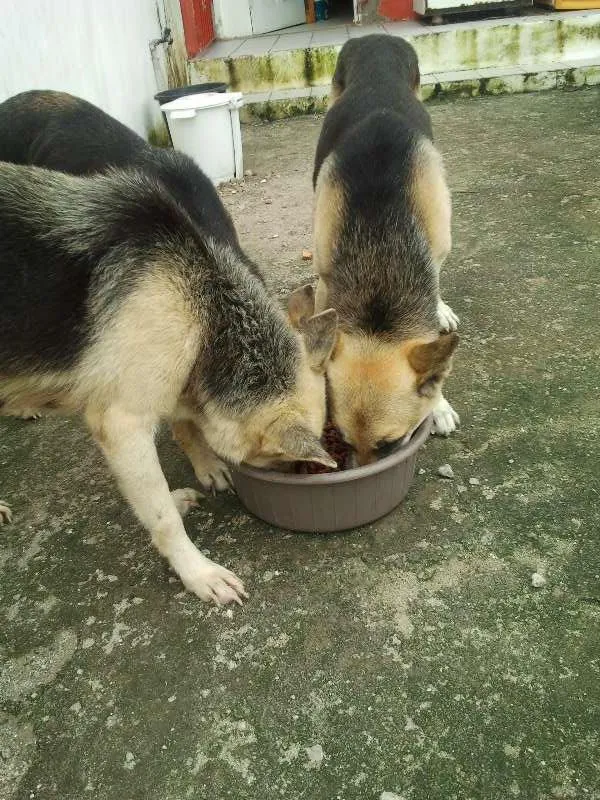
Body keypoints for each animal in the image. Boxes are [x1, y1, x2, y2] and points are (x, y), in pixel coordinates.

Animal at [0, 162, 338, 604]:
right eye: (281, 461)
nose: (303, 476)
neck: (205, 307)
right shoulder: (122, 425)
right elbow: (162, 517)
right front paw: (198, 573)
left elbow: (185, 433)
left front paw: (203, 468)